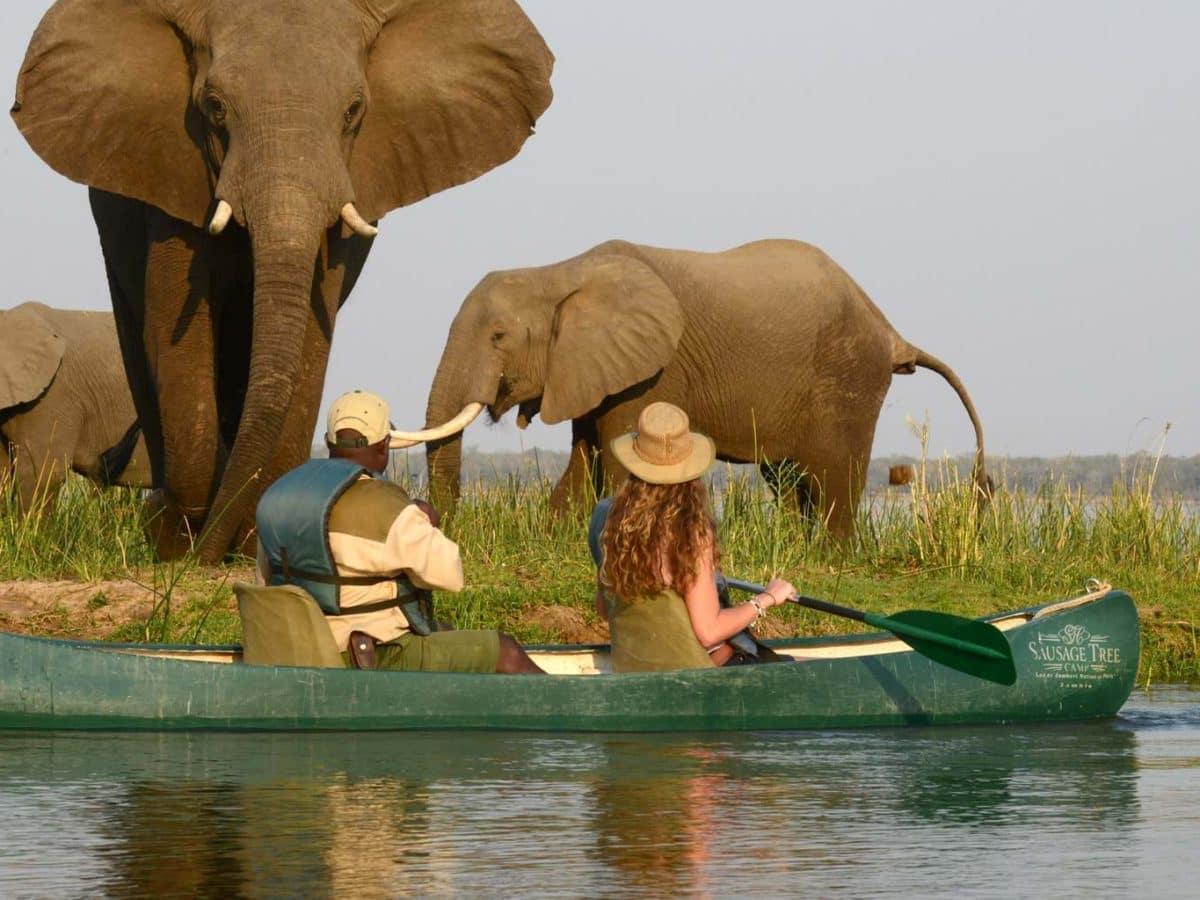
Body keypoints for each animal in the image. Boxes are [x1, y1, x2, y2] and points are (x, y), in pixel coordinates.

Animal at [427, 237, 988, 535]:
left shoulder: (651, 374)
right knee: (788, 479)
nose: (445, 528)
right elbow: (583, 462)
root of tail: (891, 333)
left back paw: (831, 557)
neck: (560, 272)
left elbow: (616, 461)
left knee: (832, 478)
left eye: (498, 337)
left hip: (849, 378)